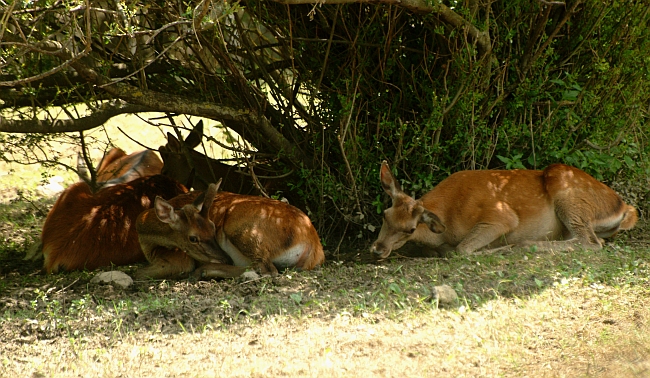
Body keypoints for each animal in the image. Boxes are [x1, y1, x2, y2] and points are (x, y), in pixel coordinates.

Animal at [135, 179, 324, 280]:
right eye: (193, 238)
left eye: (213, 228)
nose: (224, 257)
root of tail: (313, 243)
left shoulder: (180, 259)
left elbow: (139, 273)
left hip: (242, 229)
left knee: (266, 270)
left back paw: (204, 272)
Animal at [370, 159, 636, 256]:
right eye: (384, 215)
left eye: (410, 229)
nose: (378, 249)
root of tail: (624, 207)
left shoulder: (501, 217)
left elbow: (461, 249)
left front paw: (497, 248)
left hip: (569, 195)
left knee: (592, 242)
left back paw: (526, 244)